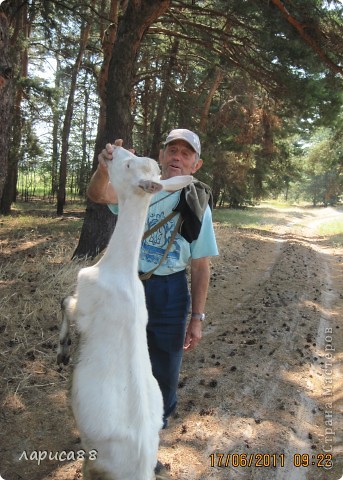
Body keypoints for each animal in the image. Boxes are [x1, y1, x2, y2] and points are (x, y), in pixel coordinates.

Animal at [57, 146, 195, 480]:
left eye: (129, 164)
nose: (113, 150)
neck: (118, 269)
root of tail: (140, 469)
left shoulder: (85, 307)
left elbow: (66, 303)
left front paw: (63, 350)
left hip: (98, 461)